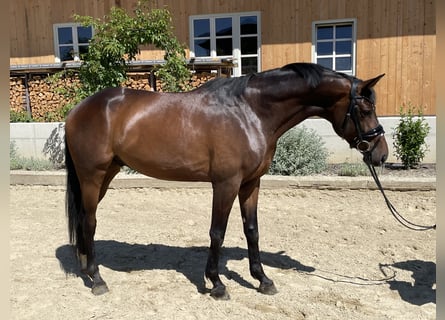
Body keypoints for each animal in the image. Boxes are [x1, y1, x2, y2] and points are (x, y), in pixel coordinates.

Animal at [64, 63, 386, 300]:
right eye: (365, 110)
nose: (381, 154)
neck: (250, 112)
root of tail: (77, 110)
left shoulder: (251, 183)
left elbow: (252, 230)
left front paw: (262, 280)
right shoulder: (226, 183)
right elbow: (217, 232)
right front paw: (217, 284)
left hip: (105, 175)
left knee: (82, 219)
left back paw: (84, 268)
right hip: (92, 176)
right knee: (89, 221)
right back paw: (97, 279)